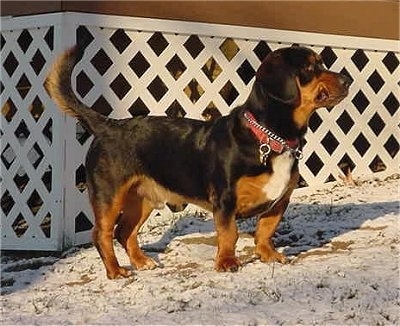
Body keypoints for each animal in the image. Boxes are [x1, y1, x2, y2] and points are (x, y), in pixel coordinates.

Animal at [47, 42, 352, 278]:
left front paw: (269, 255)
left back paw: (142, 262)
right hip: (109, 197)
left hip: (142, 200)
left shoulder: (280, 201)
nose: (347, 80)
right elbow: (229, 234)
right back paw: (115, 271)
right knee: (102, 234)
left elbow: (266, 230)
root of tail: (108, 125)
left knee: (125, 232)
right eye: (310, 68)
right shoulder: (225, 200)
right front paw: (227, 263)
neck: (269, 137)